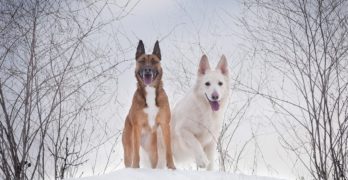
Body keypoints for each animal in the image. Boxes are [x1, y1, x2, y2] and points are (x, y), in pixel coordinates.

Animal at [122, 40, 177, 169]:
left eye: (154, 61)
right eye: (142, 61)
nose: (147, 70)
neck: (150, 91)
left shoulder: (165, 125)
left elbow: (169, 150)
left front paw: (172, 167)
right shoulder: (137, 127)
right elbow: (136, 154)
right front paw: (135, 168)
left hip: (152, 152)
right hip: (128, 148)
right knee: (131, 156)